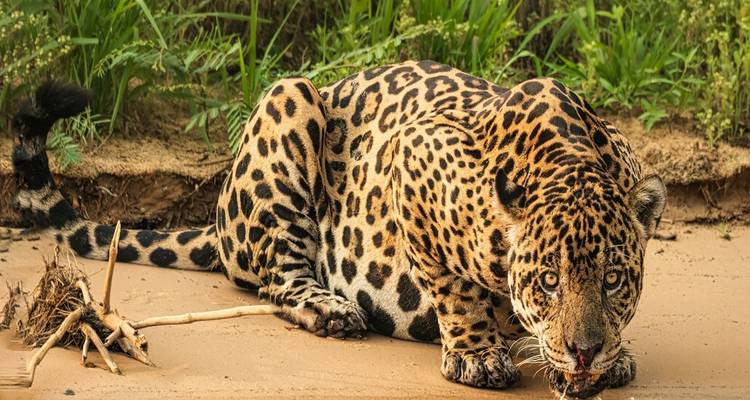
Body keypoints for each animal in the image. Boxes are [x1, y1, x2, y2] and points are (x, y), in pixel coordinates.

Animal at [10, 60, 666, 398]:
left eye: (613, 280)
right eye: (549, 281)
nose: (585, 352)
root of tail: (219, 215)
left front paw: (612, 355)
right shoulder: (413, 153)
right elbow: (454, 286)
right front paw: (478, 354)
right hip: (287, 101)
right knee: (277, 277)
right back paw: (332, 309)